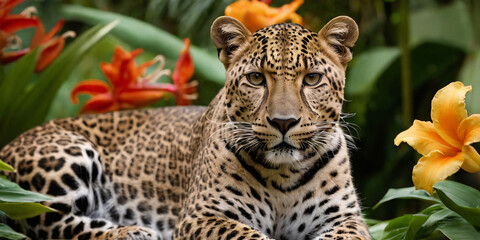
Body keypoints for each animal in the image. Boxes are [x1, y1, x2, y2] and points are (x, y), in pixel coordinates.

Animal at [0, 15, 372, 239]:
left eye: (312, 79)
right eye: (256, 78)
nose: (284, 122)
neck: (284, 175)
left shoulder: (346, 219)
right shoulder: (203, 215)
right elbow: (248, 234)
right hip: (65, 154)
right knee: (46, 217)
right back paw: (132, 232)